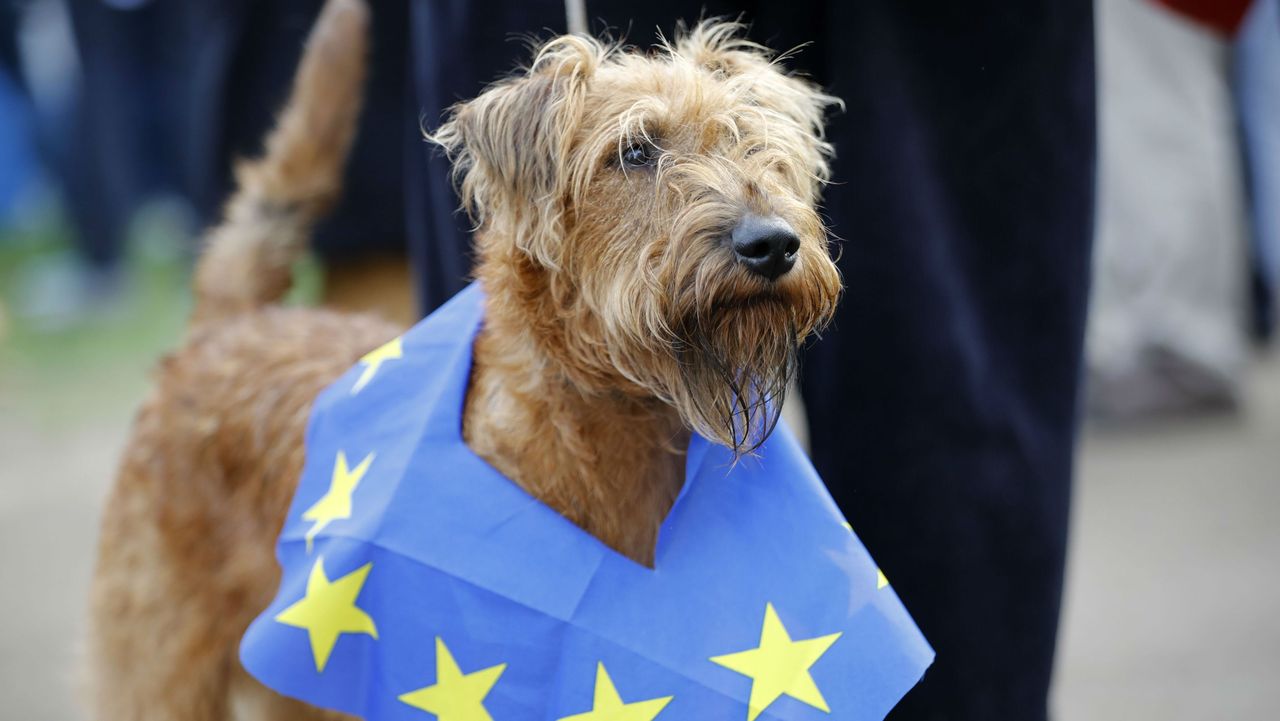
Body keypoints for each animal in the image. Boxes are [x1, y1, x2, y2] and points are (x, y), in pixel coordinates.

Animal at [90, 0, 844, 717]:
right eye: (634, 151)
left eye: (751, 139)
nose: (771, 244)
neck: (601, 422)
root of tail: (228, 326)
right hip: (165, 663)